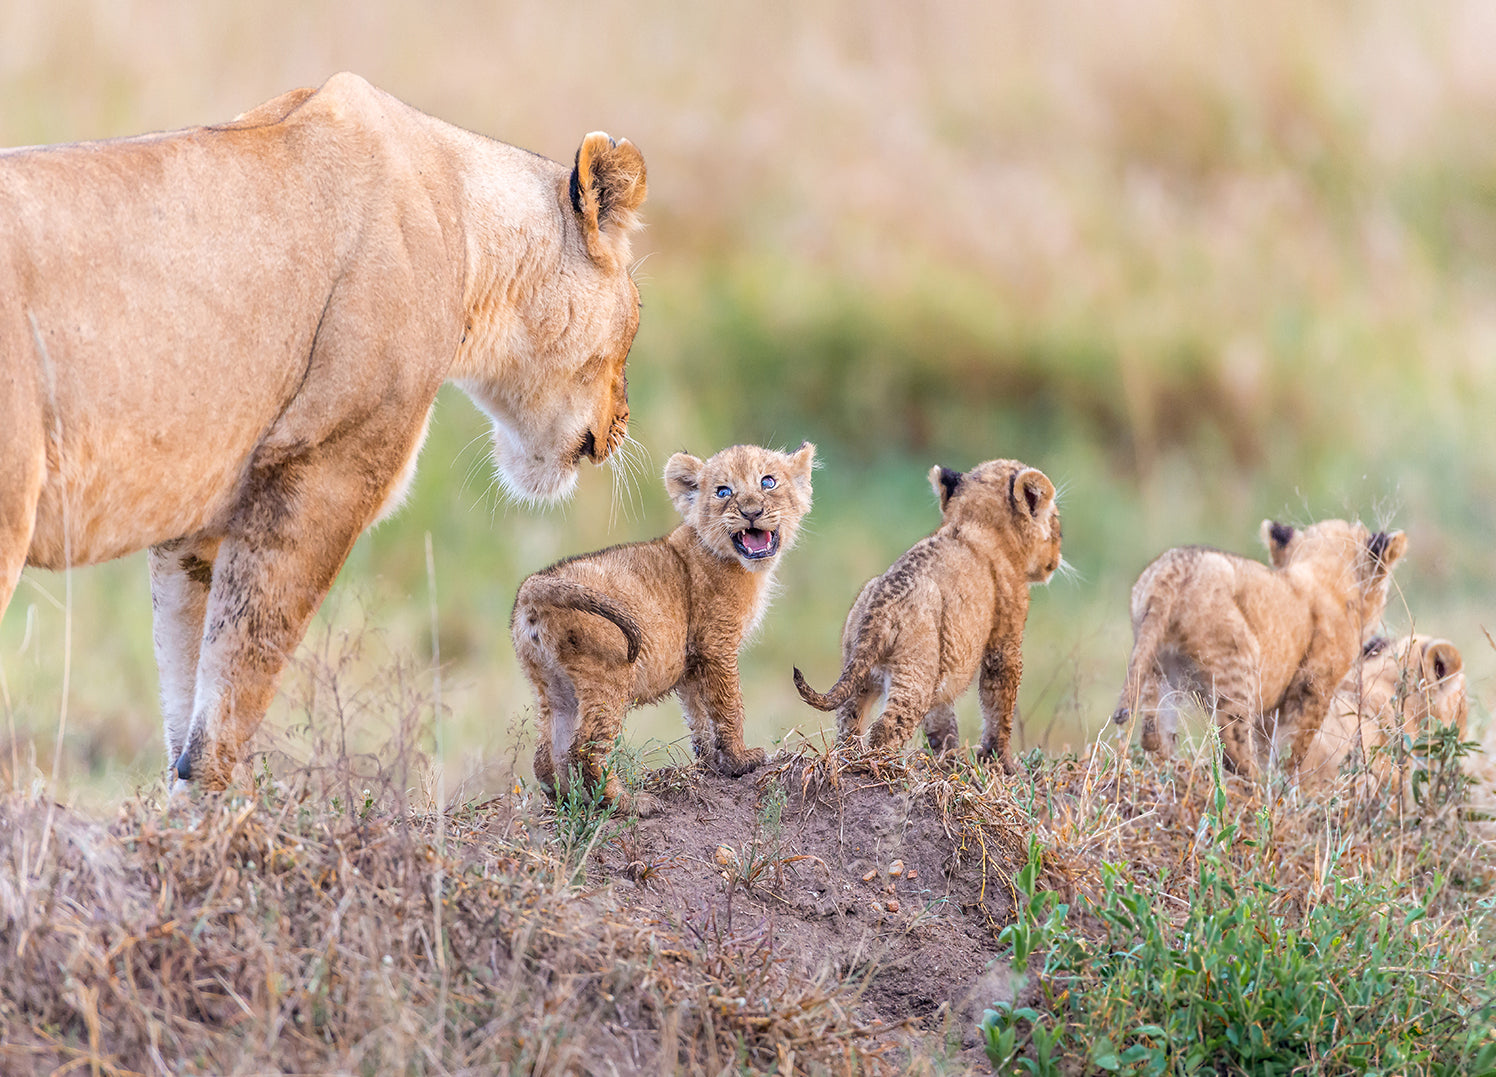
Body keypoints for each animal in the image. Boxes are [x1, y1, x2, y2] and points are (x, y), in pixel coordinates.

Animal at [0, 73, 647, 788]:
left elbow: (185, 694)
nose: (623, 423)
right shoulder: (322, 473)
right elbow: (234, 693)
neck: (469, 231)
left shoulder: (197, 527)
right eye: (638, 314)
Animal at [511, 442, 815, 815]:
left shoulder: (691, 661)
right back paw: (628, 803)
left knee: (545, 754)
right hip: (609, 673)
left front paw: (714, 764)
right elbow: (729, 706)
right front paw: (741, 760)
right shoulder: (717, 644)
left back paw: (571, 803)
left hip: (552, 687)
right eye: (723, 492)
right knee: (586, 747)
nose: (751, 512)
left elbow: (699, 716)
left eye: (768, 482)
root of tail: (535, 586)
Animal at [792, 458, 1062, 773]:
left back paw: (851, 758)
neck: (974, 521)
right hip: (915, 674)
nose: (1057, 557)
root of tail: (881, 605)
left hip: (862, 668)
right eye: (1055, 520)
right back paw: (886, 766)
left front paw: (947, 758)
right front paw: (1001, 763)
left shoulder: (945, 661)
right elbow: (999, 706)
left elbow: (941, 717)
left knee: (849, 720)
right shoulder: (1005, 640)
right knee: (886, 727)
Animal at [1110, 519, 1407, 779]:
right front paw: (1287, 786)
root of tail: (1171, 572)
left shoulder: (1274, 704)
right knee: (1234, 743)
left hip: (1156, 664)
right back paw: (1254, 789)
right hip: (1238, 662)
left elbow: (1269, 743)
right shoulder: (1313, 685)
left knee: (1153, 733)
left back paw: (1173, 767)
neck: (1324, 572)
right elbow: (1295, 746)